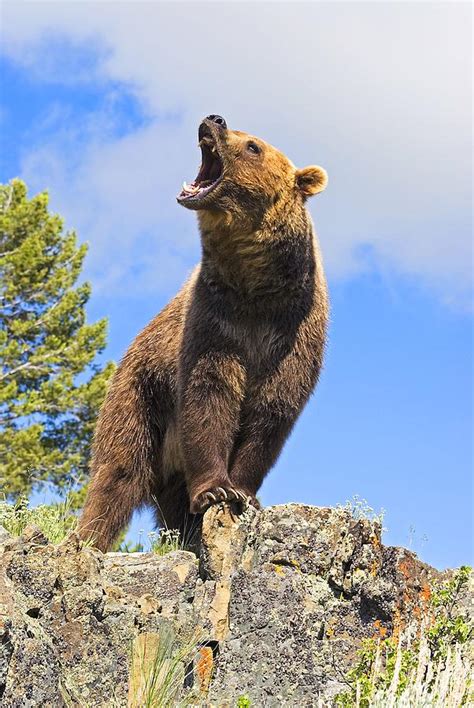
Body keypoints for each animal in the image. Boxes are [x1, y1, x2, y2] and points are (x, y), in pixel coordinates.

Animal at [78, 115, 330, 552]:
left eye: (253, 146)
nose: (213, 120)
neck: (256, 288)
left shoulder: (292, 331)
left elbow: (273, 410)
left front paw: (243, 491)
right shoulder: (215, 322)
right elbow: (208, 395)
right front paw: (215, 490)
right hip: (141, 395)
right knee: (118, 471)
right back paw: (87, 539)